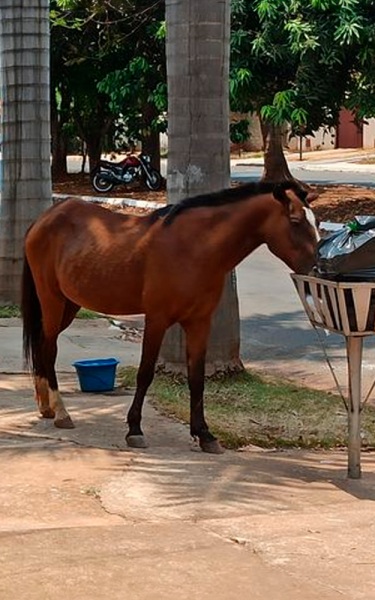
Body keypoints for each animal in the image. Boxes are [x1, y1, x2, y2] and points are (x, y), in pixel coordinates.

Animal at [22, 180, 318, 452]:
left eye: (315, 222)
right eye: (295, 221)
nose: (316, 270)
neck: (194, 247)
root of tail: (46, 217)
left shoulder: (199, 323)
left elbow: (197, 378)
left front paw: (204, 434)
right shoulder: (157, 320)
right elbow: (145, 374)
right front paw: (134, 429)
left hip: (70, 304)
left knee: (42, 344)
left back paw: (46, 407)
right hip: (52, 300)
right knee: (49, 348)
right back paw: (61, 412)